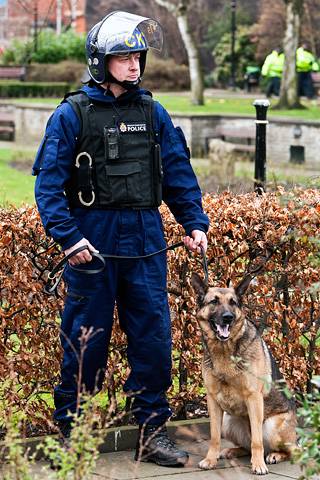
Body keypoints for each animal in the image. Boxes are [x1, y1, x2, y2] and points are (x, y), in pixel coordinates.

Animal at [190, 272, 298, 474]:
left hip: (271, 427)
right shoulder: (212, 400)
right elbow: (214, 437)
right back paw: (231, 451)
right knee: (246, 446)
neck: (224, 350)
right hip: (228, 421)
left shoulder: (254, 397)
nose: (228, 317)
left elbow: (257, 441)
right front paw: (210, 460)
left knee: (286, 450)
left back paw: (274, 456)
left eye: (233, 302)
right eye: (214, 301)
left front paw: (258, 465)